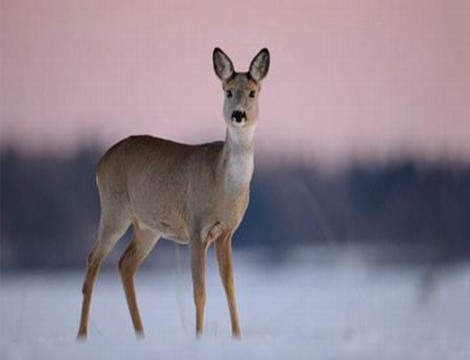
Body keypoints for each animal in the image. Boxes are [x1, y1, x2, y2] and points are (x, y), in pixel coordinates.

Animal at [76, 48, 268, 340]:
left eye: (253, 92)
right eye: (227, 91)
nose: (238, 114)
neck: (223, 182)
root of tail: (101, 162)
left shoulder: (227, 232)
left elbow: (230, 287)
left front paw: (237, 337)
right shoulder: (196, 227)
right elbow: (199, 292)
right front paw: (198, 338)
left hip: (147, 227)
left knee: (125, 264)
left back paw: (141, 334)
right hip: (114, 210)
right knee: (93, 260)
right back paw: (82, 335)